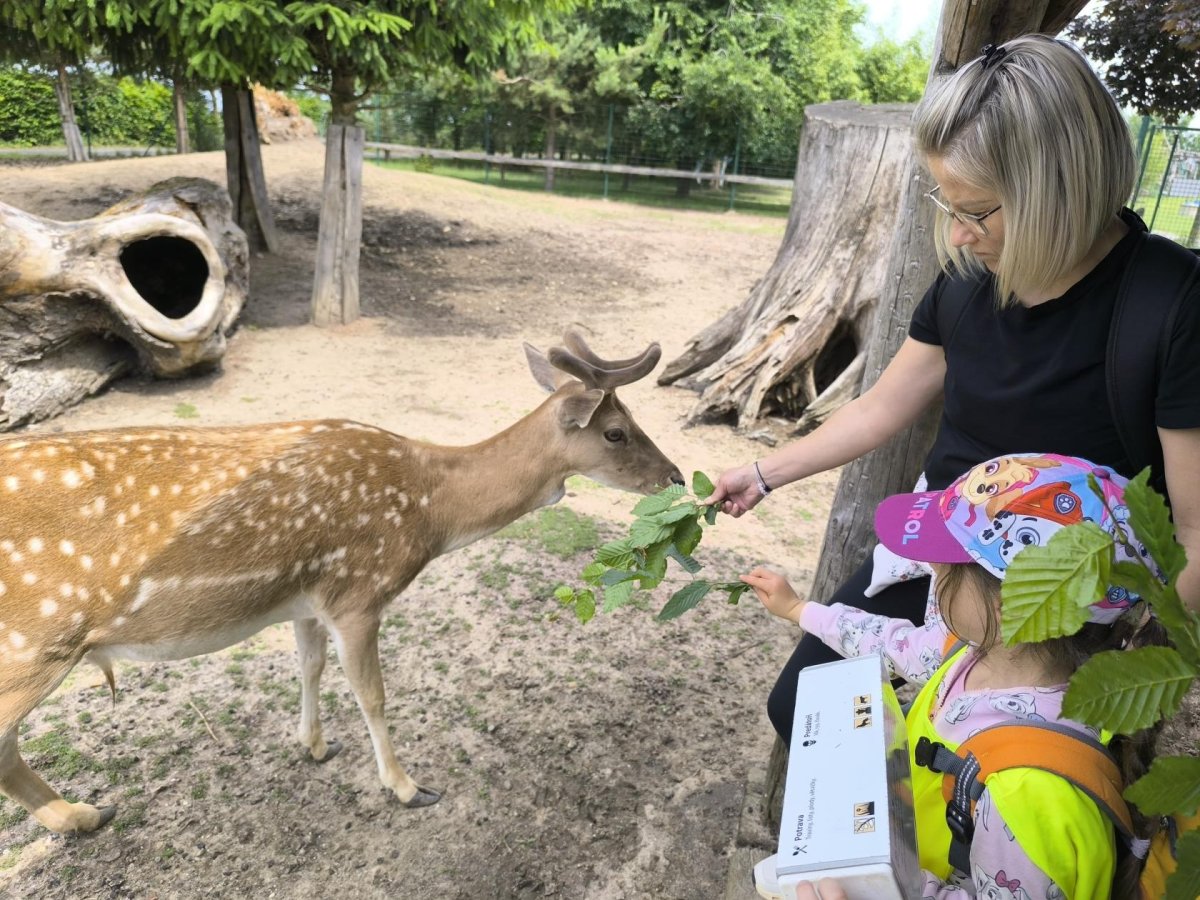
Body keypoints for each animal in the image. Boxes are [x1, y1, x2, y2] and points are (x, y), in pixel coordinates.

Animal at [0, 328, 684, 834]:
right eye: (616, 431)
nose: (676, 476)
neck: (431, 512)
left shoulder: (308, 599)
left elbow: (309, 667)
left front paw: (313, 745)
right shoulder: (360, 590)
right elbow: (373, 694)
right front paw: (408, 787)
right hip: (35, 642)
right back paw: (80, 815)